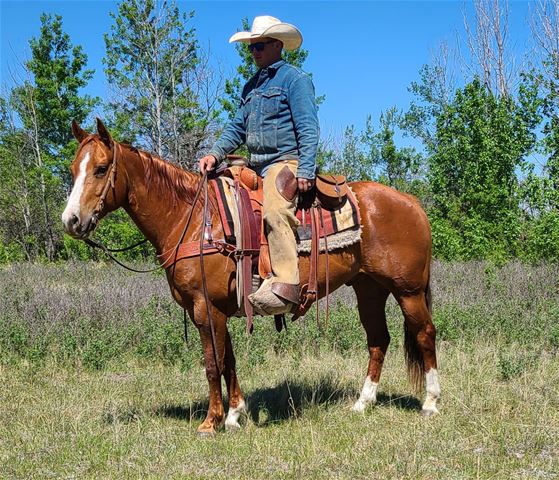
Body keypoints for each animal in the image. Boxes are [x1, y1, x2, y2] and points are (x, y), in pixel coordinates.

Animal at [62, 120, 442, 436]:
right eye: (72, 169)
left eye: (100, 169)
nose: (71, 221)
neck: (194, 219)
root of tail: (412, 202)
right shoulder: (217, 309)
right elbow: (228, 360)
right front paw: (235, 414)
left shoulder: (204, 307)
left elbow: (212, 364)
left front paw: (211, 421)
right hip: (370, 289)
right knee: (378, 340)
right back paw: (363, 403)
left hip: (407, 290)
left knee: (425, 334)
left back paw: (431, 402)